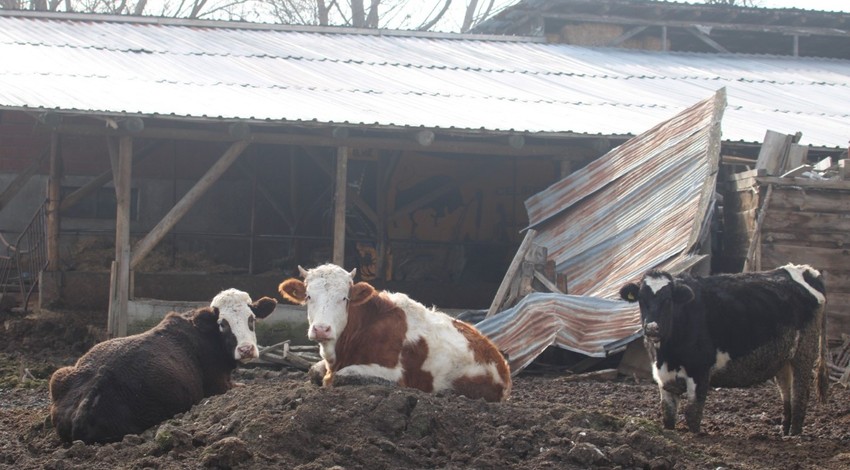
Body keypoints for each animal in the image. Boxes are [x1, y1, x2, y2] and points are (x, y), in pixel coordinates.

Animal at [276, 262, 510, 402]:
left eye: (344, 298)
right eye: (308, 296)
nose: (321, 329)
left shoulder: (396, 374)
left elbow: (340, 377)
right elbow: (314, 371)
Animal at [616, 262, 828, 436]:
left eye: (667, 299)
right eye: (641, 300)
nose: (652, 328)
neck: (666, 355)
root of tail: (805, 271)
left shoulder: (700, 371)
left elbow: (692, 415)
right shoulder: (664, 378)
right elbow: (668, 416)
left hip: (804, 351)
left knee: (800, 393)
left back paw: (794, 434)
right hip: (783, 359)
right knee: (786, 392)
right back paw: (784, 430)